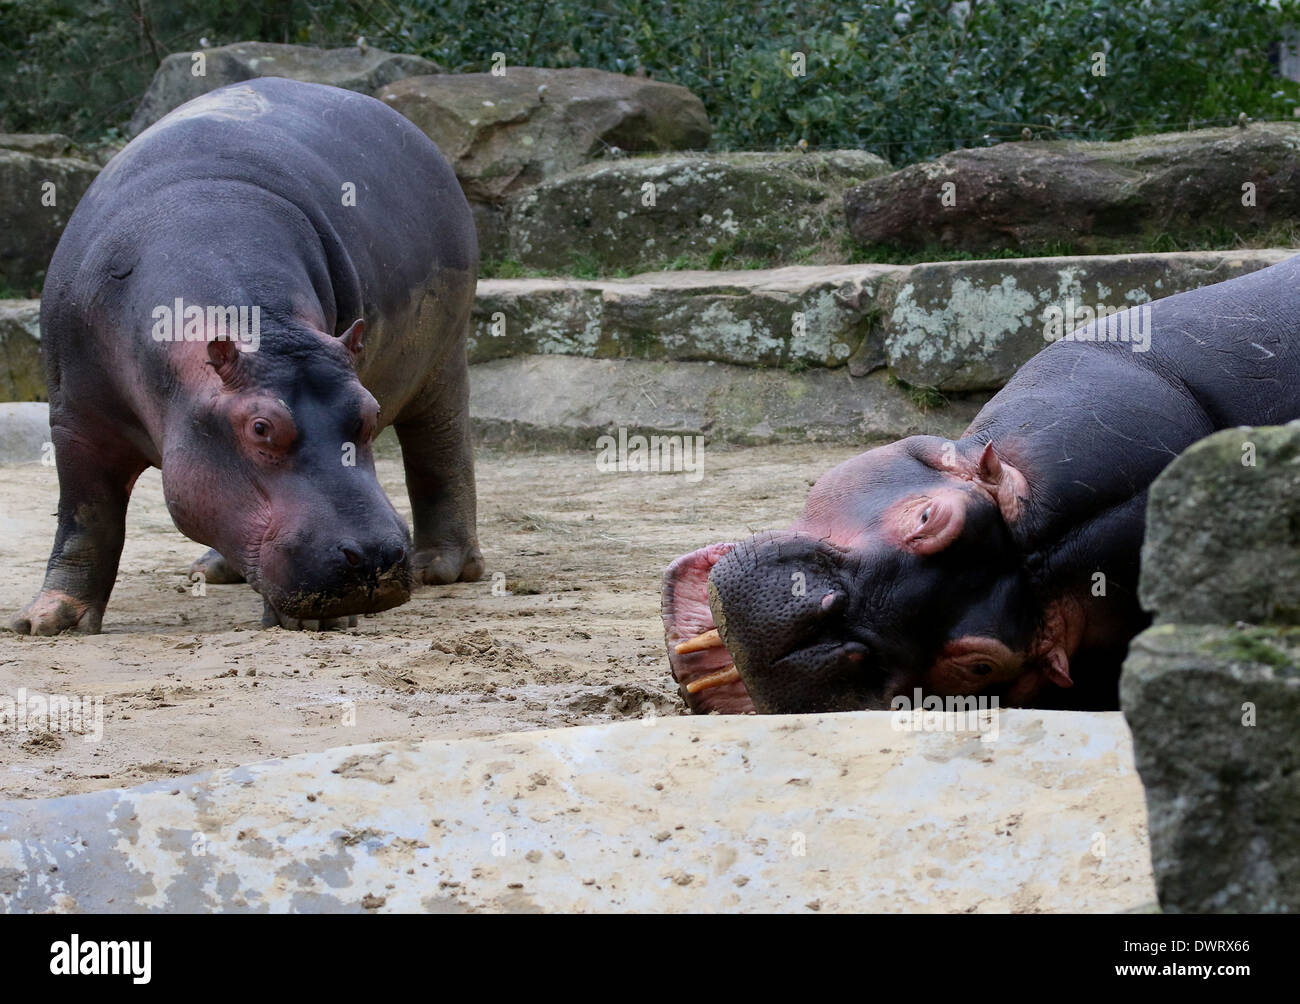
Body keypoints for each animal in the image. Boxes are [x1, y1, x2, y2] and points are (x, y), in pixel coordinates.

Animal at [6, 82, 483, 639]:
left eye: (369, 412)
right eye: (261, 427)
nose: (373, 558)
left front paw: (321, 620)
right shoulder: (75, 420)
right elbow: (85, 516)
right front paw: (46, 621)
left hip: (444, 354)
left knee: (440, 448)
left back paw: (442, 568)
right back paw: (213, 571)